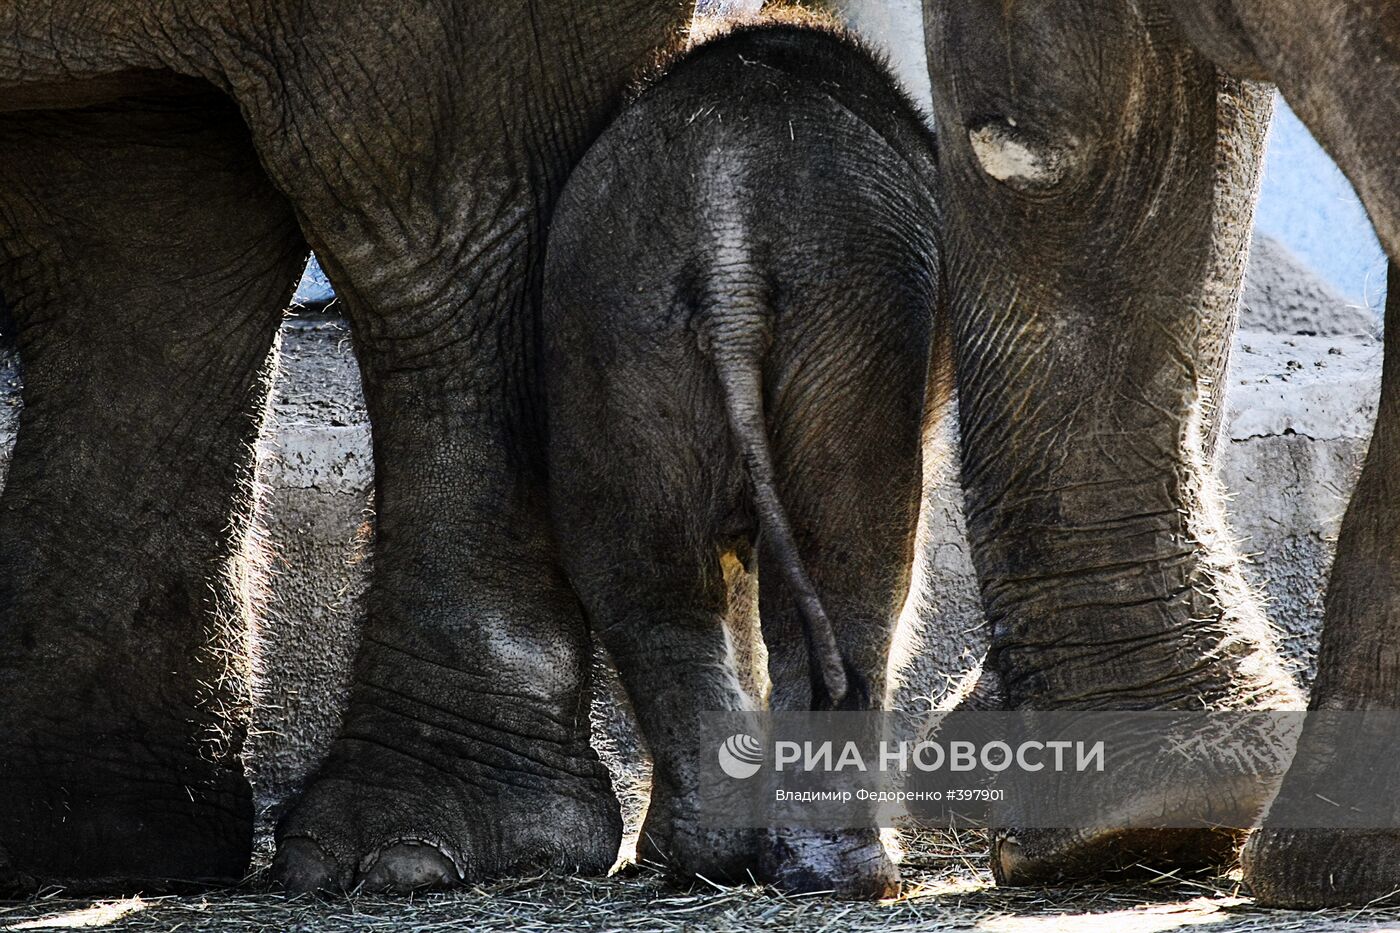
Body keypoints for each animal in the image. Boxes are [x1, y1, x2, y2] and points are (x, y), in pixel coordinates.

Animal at [540, 18, 946, 896]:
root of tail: (725, 250)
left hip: (612, 318)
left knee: (649, 583)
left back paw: (697, 858)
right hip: (851, 310)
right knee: (851, 567)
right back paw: (854, 874)